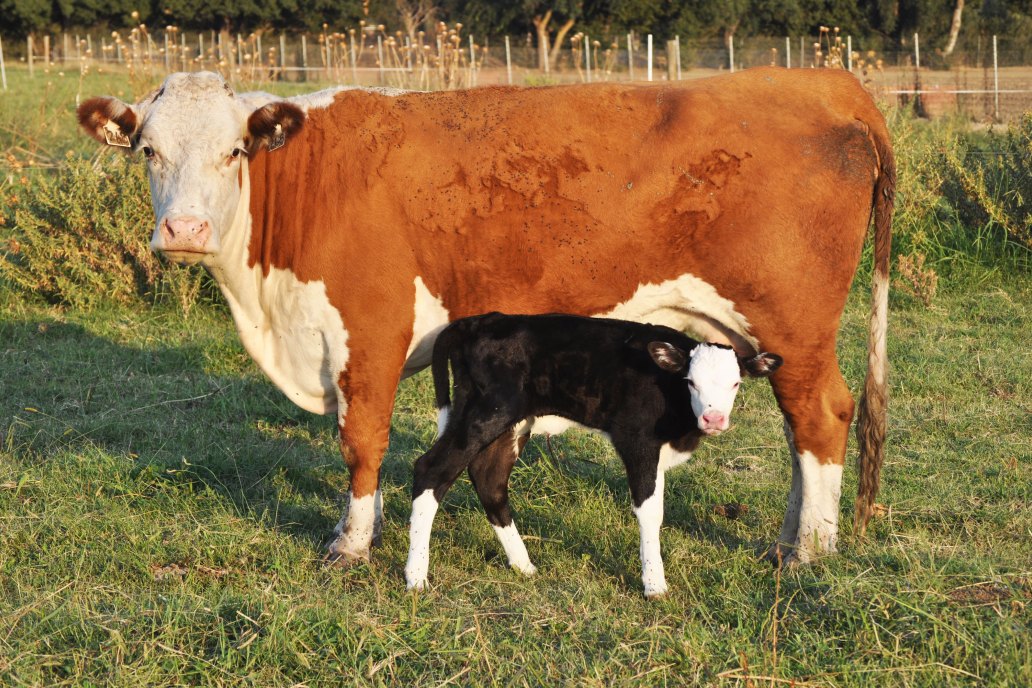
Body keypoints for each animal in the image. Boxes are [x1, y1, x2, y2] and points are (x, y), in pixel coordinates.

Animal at [403, 312, 783, 596]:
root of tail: (478, 321)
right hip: (486, 411)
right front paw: (654, 584)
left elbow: (659, 509)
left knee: (489, 478)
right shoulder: (637, 440)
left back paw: (523, 565)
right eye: (691, 381)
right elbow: (648, 512)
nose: (713, 419)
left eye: (736, 383)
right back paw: (416, 577)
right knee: (431, 470)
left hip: (511, 422)